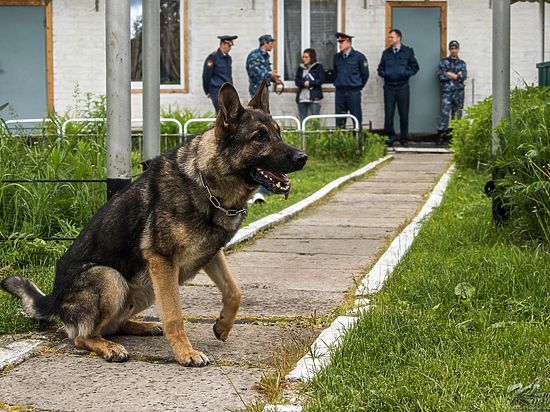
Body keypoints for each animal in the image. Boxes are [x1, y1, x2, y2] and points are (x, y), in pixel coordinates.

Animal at [2, 81, 308, 366]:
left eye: (278, 132)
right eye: (260, 136)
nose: (303, 158)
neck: (207, 182)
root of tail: (53, 297)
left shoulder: (211, 254)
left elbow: (234, 290)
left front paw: (223, 325)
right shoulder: (162, 261)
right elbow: (175, 314)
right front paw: (185, 353)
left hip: (144, 289)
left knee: (113, 325)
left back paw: (143, 327)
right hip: (110, 278)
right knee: (82, 336)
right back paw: (108, 347)